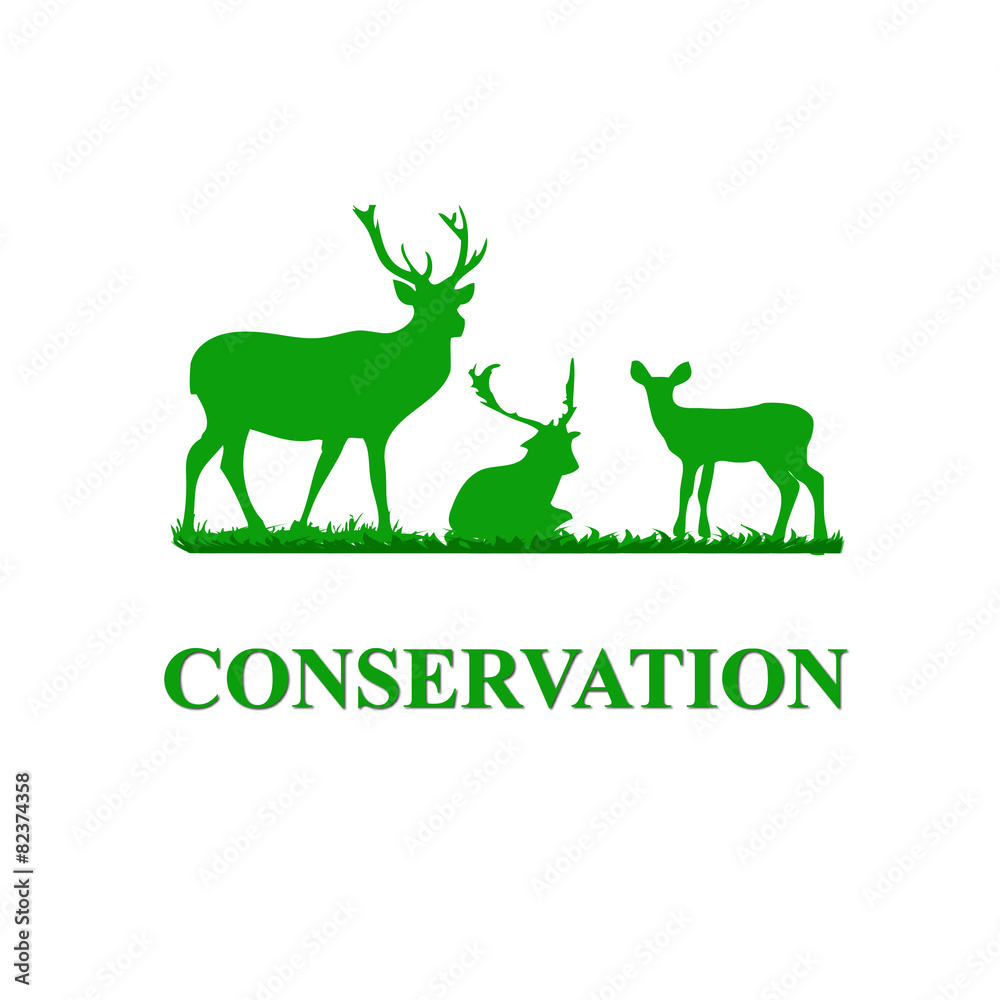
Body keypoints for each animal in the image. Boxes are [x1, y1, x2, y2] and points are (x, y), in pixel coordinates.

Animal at [180, 205, 486, 540]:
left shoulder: (352, 429)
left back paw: (246, 526)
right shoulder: (362, 425)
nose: (458, 325)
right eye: (421, 303)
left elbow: (328, 473)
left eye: (455, 301)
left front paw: (301, 525)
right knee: (202, 456)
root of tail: (193, 367)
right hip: (225, 411)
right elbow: (371, 476)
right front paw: (383, 531)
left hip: (235, 419)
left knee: (224, 461)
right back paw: (197, 529)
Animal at [630, 360, 827, 541]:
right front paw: (704, 532)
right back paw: (815, 535)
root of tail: (810, 421)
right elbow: (703, 491)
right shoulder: (709, 458)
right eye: (648, 387)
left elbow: (687, 490)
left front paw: (680, 532)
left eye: (669, 388)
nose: (657, 402)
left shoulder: (691, 457)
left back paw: (779, 536)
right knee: (813, 479)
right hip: (793, 456)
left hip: (774, 456)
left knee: (793, 485)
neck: (676, 424)